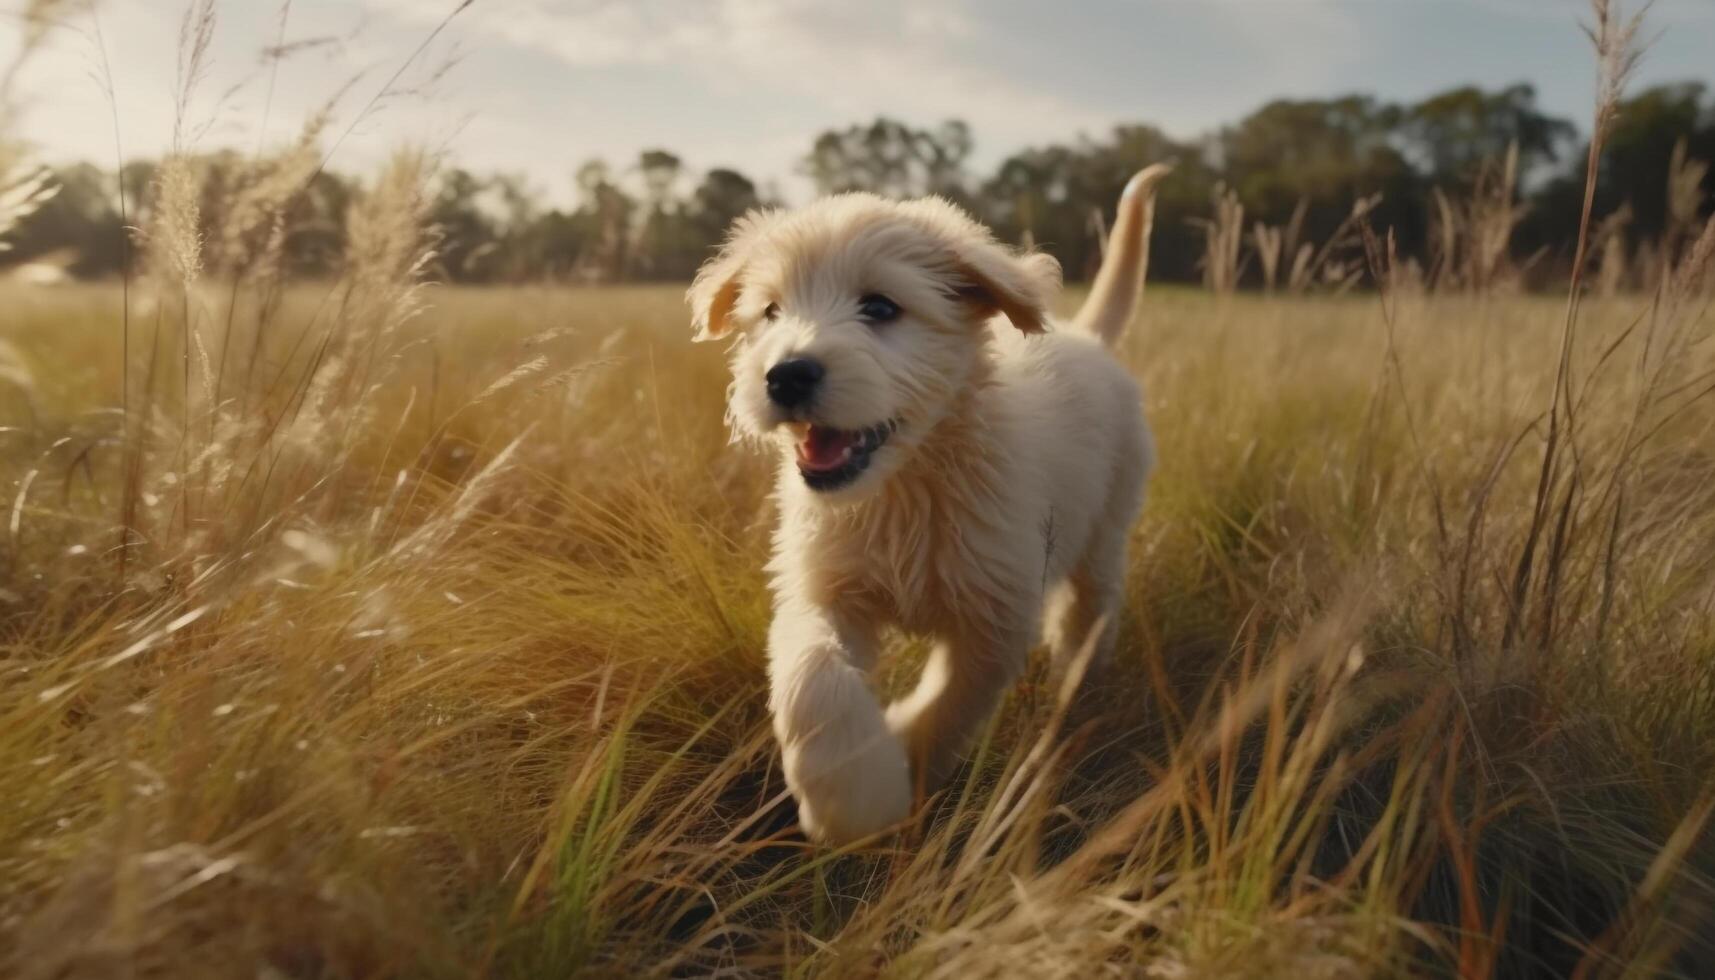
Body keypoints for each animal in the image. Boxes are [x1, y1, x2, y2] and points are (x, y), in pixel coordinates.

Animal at [689, 166, 1173, 844]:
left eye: (880, 307)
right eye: (771, 310)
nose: (785, 375)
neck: (906, 485)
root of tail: (1086, 336)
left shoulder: (993, 619)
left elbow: (947, 706)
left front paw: (896, 772)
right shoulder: (822, 590)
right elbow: (812, 676)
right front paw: (849, 791)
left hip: (1104, 534)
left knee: (1089, 612)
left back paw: (1074, 687)